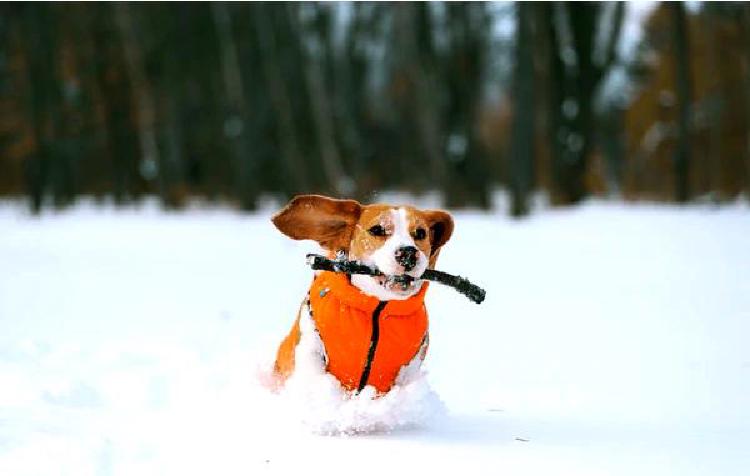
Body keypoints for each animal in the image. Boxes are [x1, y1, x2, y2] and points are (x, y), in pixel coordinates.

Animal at [274, 194, 456, 394]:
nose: (408, 253)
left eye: (420, 233)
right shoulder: (310, 342)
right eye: (377, 229)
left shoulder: (410, 365)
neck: (377, 307)